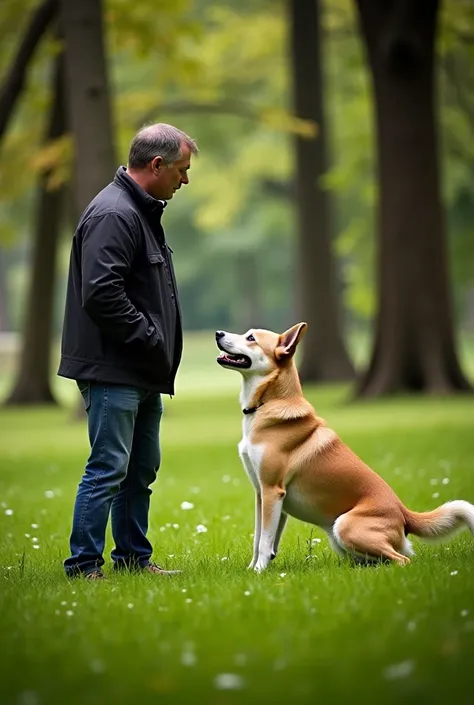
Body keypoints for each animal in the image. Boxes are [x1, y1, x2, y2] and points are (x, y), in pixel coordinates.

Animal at [216, 324, 474, 572]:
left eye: (251, 338)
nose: (218, 333)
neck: (267, 403)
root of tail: (404, 513)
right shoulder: (262, 494)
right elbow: (261, 539)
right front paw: (254, 569)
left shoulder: (272, 490)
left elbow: (264, 541)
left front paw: (259, 571)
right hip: (341, 539)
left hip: (345, 526)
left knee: (402, 560)